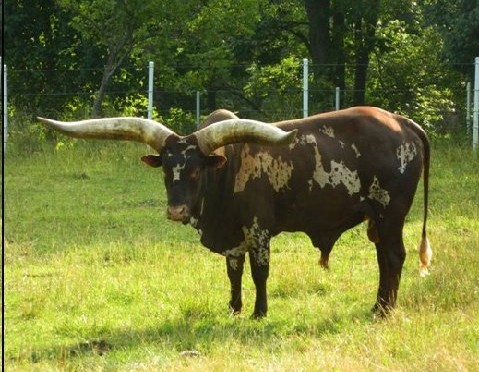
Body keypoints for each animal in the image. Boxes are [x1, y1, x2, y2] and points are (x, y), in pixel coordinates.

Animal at [39, 106, 434, 318]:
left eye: (195, 169)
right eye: (166, 169)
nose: (176, 210)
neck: (225, 171)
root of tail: (401, 121)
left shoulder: (258, 229)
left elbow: (259, 272)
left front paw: (260, 311)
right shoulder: (231, 237)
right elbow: (233, 272)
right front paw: (234, 307)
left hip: (391, 212)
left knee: (393, 257)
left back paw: (385, 310)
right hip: (378, 218)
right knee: (384, 258)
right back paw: (378, 306)